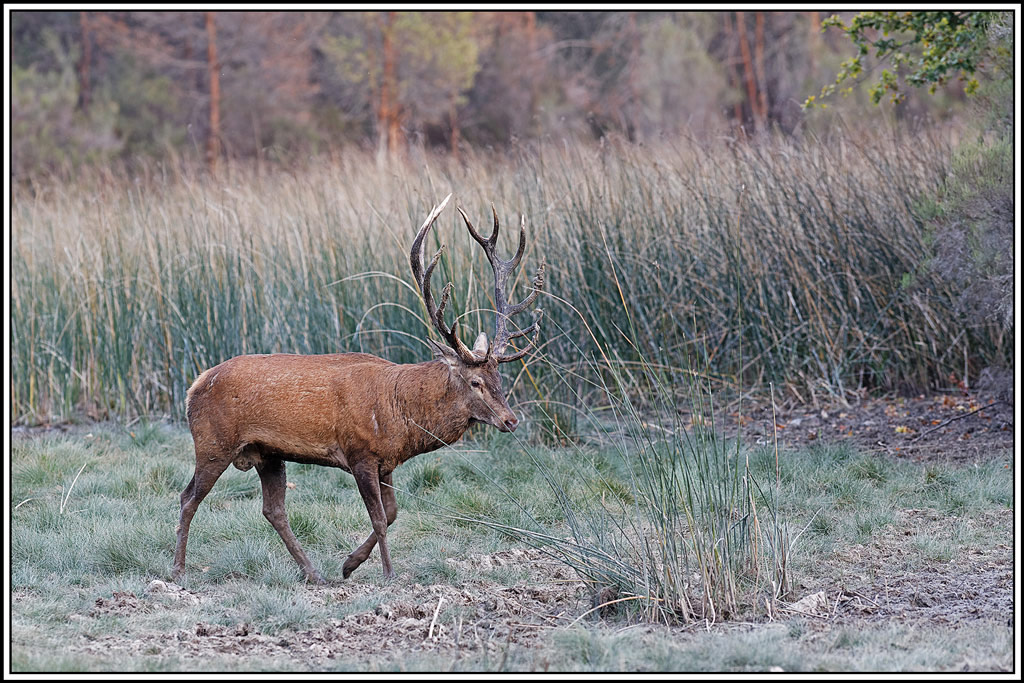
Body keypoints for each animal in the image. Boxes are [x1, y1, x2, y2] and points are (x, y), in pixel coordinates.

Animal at [171, 194, 545, 584]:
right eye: (475, 382)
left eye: (500, 379)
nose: (510, 420)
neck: (401, 413)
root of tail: (195, 385)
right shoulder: (359, 452)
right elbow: (380, 518)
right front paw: (388, 573)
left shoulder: (386, 462)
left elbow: (393, 512)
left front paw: (349, 564)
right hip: (213, 443)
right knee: (188, 497)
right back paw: (178, 569)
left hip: (267, 453)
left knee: (273, 509)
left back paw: (313, 573)